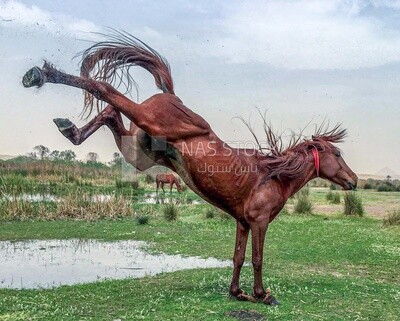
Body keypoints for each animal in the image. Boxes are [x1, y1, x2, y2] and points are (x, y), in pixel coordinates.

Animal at [21, 31, 358, 304]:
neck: (272, 176)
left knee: (110, 113)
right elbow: (258, 258)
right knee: (106, 90)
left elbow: (237, 257)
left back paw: (69, 127)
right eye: (338, 153)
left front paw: (237, 292)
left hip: (137, 151)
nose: (354, 180)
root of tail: (172, 97)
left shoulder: (242, 222)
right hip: (149, 120)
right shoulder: (259, 222)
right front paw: (263, 295)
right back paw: (39, 74)